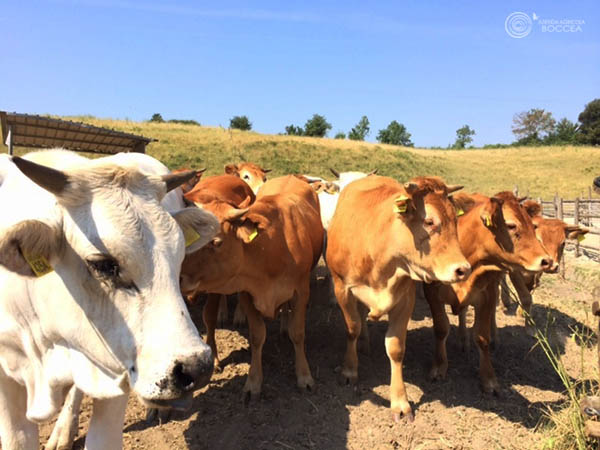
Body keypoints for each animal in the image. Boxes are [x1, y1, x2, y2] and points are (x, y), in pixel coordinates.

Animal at [182, 176, 326, 398]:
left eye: (216, 242)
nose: (178, 275)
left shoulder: (301, 292)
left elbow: (298, 333)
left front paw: (304, 376)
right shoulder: (247, 293)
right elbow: (257, 336)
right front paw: (253, 381)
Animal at [326, 174, 472, 420]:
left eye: (455, 220)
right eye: (429, 221)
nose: (463, 269)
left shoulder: (405, 299)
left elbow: (395, 348)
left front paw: (400, 402)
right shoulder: (342, 288)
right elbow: (352, 328)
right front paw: (349, 369)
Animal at [424, 192, 552, 394]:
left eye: (533, 226)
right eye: (511, 225)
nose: (547, 260)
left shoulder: (487, 296)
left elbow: (482, 336)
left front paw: (488, 379)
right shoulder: (432, 293)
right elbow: (441, 329)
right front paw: (439, 367)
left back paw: (493, 340)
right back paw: (463, 339)